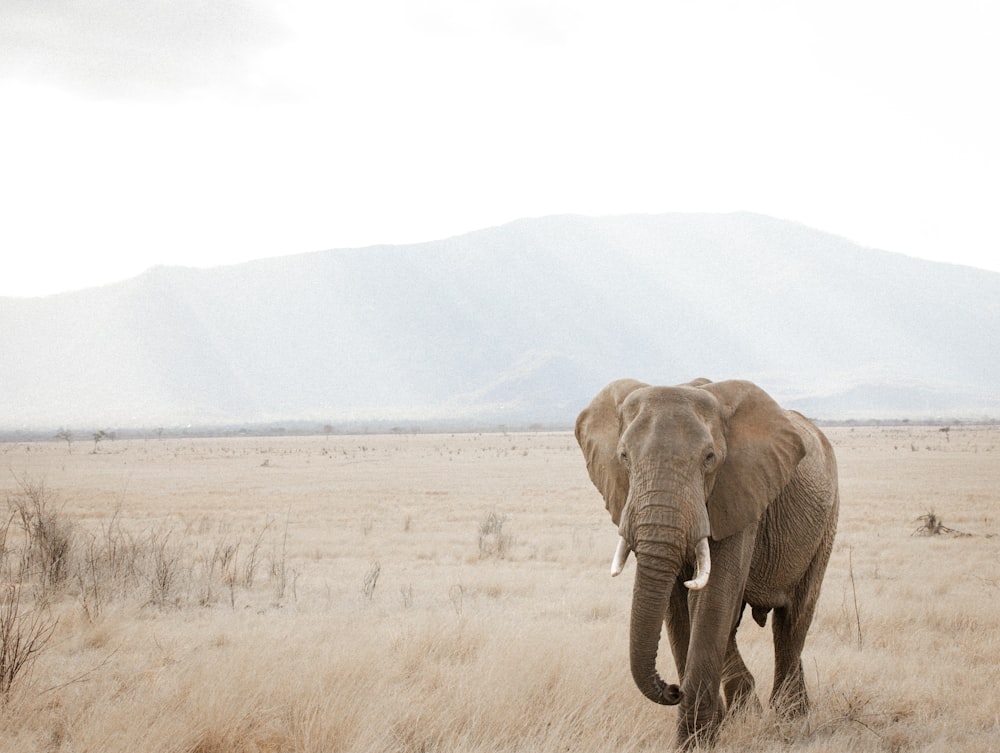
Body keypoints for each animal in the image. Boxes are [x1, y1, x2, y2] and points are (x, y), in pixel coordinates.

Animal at [576, 378, 840, 744]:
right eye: (624, 457)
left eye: (709, 459)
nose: (672, 689)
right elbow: (676, 606)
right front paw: (703, 734)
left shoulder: (739, 492)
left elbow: (712, 598)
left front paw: (696, 741)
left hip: (826, 523)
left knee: (792, 620)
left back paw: (789, 717)